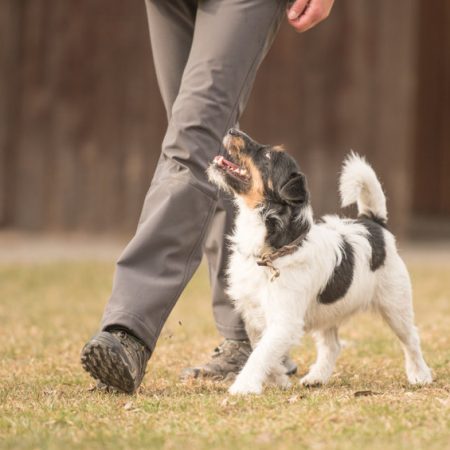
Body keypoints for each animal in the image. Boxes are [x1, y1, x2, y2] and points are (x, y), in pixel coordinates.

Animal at [207, 127, 432, 394]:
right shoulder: (254, 314)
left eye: (269, 156)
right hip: (328, 312)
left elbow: (260, 354)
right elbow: (262, 348)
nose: (232, 129)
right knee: (332, 346)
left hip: (395, 306)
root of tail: (374, 223)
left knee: (411, 339)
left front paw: (244, 386)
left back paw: (419, 375)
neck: (274, 250)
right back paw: (317, 377)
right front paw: (278, 379)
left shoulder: (284, 321)